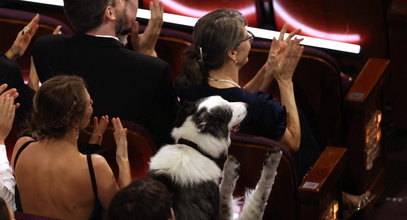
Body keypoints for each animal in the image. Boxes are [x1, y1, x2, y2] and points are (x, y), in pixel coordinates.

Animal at [148, 96, 282, 220]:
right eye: (229, 112)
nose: (247, 105)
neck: (193, 147)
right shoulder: (224, 214)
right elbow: (254, 197)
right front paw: (231, 170)